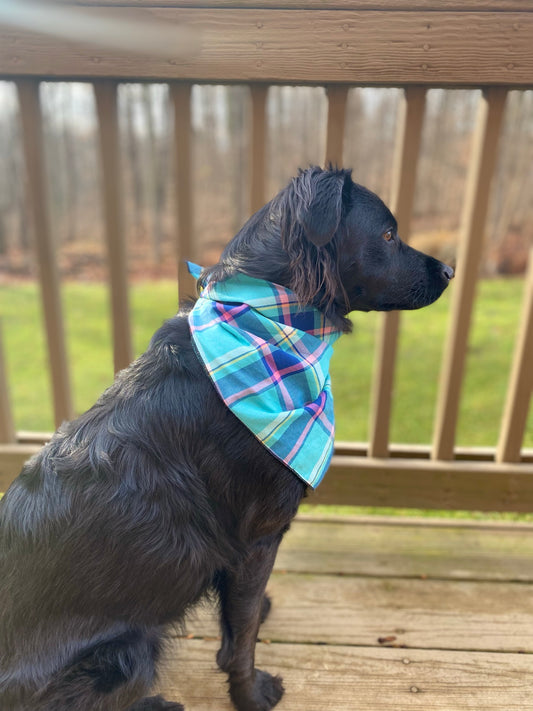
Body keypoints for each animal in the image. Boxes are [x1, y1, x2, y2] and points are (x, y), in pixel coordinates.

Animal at [0, 167, 454, 711]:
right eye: (387, 235)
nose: (451, 270)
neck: (269, 321)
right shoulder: (256, 540)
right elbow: (242, 639)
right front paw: (251, 695)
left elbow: (240, 620)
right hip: (129, 650)